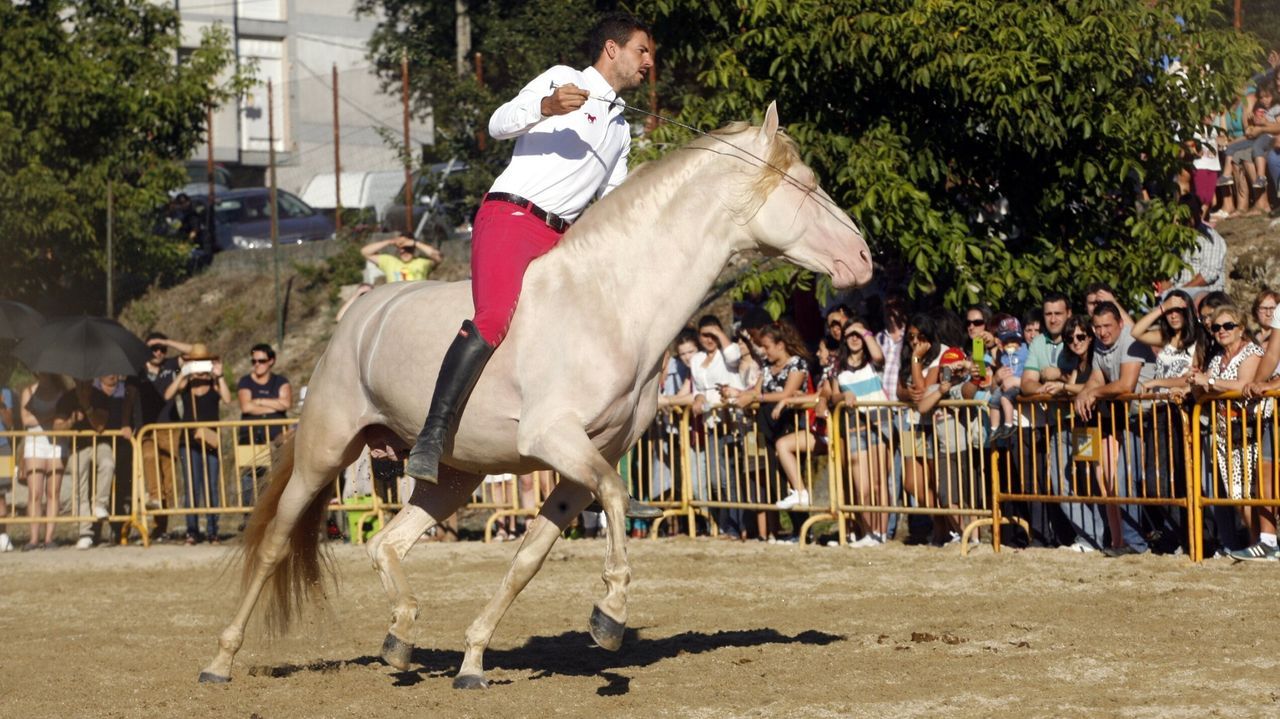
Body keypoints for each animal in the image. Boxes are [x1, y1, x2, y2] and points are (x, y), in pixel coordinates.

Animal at [199, 102, 875, 690]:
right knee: (275, 544)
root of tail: (360, 312)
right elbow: (615, 496)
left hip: (453, 478)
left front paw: (474, 661)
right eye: (807, 185)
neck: (611, 301)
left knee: (385, 543)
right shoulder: (555, 440)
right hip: (325, 452)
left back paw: (401, 635)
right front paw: (611, 614)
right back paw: (221, 660)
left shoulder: (581, 462)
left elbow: (529, 558)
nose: (865, 257)